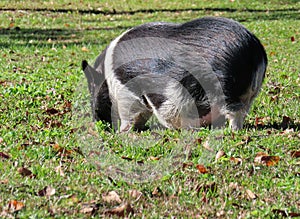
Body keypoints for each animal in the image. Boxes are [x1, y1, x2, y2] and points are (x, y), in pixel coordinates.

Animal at [81, 16, 268, 132]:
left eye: (92, 88)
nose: (97, 121)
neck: (109, 77)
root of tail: (254, 50)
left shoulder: (126, 88)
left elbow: (130, 113)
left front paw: (122, 132)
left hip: (224, 86)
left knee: (234, 110)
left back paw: (232, 131)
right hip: (247, 93)